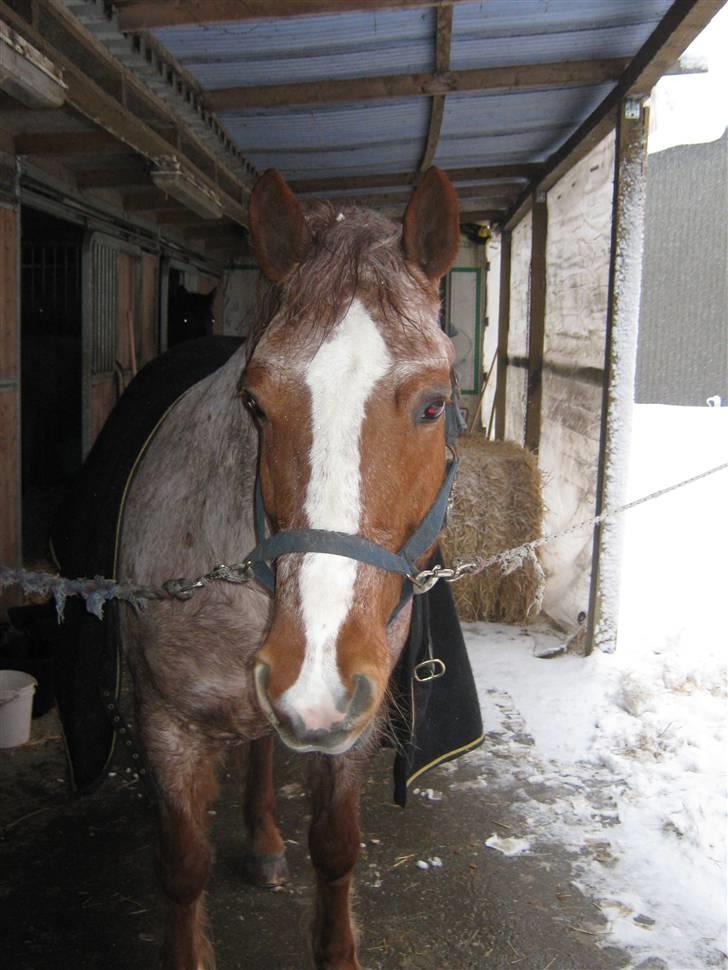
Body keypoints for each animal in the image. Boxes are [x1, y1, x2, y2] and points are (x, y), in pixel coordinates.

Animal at [117, 166, 461, 969]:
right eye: (255, 403)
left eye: (435, 405)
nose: (315, 676)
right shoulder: (167, 726)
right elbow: (183, 867)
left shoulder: (353, 729)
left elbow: (335, 849)